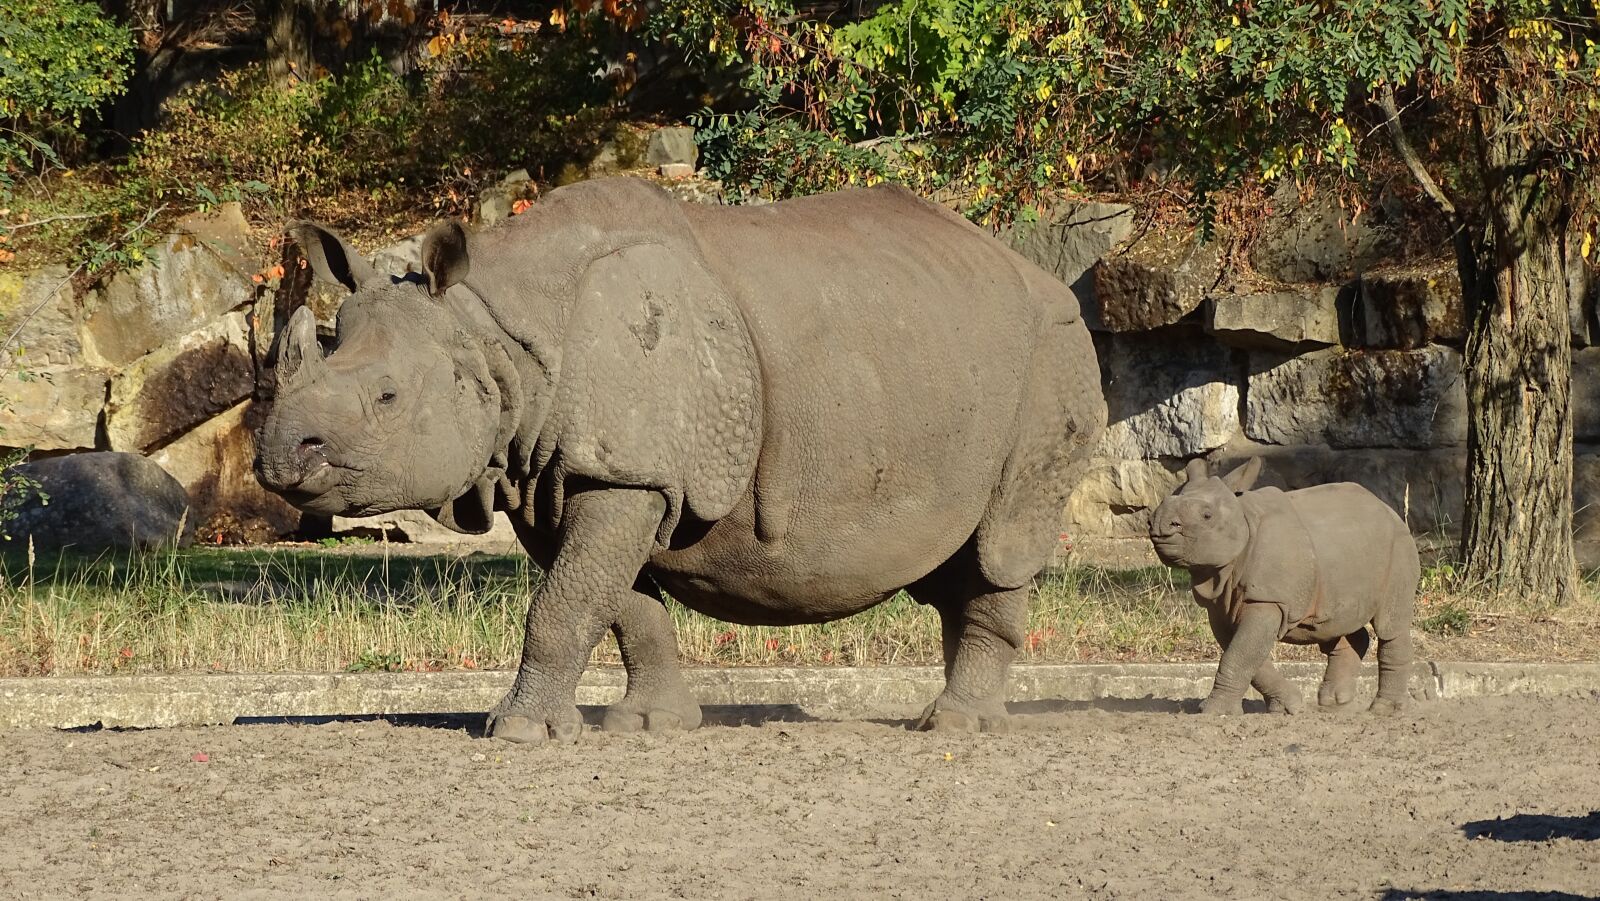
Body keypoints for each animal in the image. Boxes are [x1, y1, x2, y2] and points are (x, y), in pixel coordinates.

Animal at [256, 177, 1107, 742]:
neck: (495, 331)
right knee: (956, 561)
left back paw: (955, 727)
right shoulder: (559, 474)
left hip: (1055, 346)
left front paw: (519, 732)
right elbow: (618, 602)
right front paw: (646, 723)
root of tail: (1033, 270)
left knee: (1001, 546)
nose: (275, 456)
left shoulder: (624, 469)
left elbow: (563, 603)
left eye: (388, 397)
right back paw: (959, 717)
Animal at [1148, 458, 1421, 716]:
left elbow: (1239, 654)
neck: (1243, 518)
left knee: (1390, 625)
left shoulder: (1268, 598)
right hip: (1345, 554)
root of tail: (1388, 509)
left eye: (1207, 515)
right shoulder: (1220, 604)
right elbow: (1245, 653)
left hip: (1399, 546)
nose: (1160, 522)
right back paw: (1335, 704)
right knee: (1334, 624)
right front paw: (1289, 705)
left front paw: (1214, 711)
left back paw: (1385, 709)